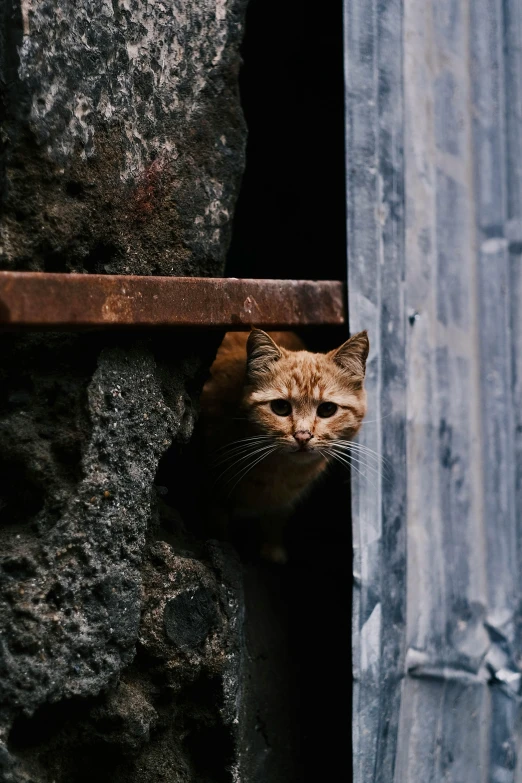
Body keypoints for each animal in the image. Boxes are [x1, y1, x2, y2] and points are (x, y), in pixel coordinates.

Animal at [197, 328, 368, 560]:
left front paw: (273, 552)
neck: (279, 473)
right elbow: (219, 527)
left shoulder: (280, 507)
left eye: (327, 409)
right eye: (280, 407)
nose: (303, 436)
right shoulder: (214, 495)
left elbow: (275, 523)